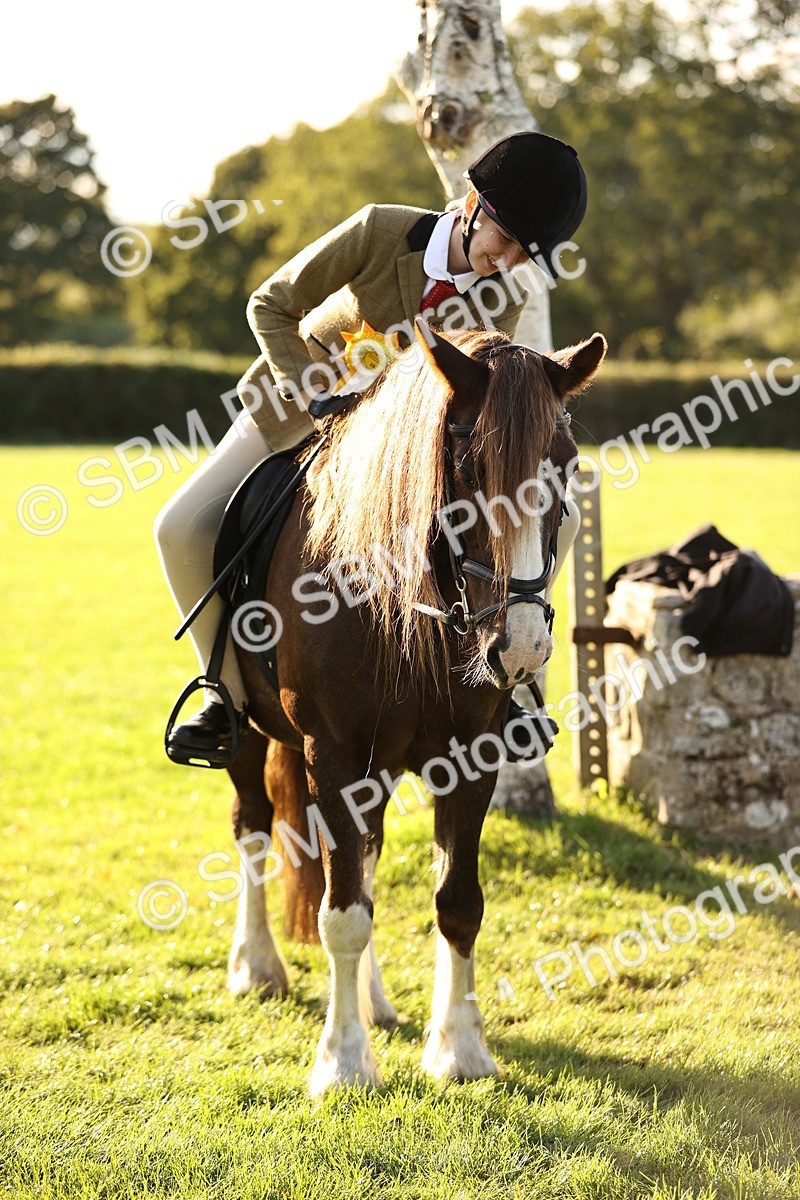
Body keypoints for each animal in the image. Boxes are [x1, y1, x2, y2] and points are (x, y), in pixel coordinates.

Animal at [224, 320, 606, 1094]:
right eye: (466, 466)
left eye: (566, 465)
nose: (521, 648)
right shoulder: (334, 754)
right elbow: (343, 912)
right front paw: (343, 1063)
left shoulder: (470, 757)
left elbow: (456, 902)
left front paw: (459, 1051)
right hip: (252, 733)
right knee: (253, 823)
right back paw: (258, 966)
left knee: (362, 857)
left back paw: (371, 999)